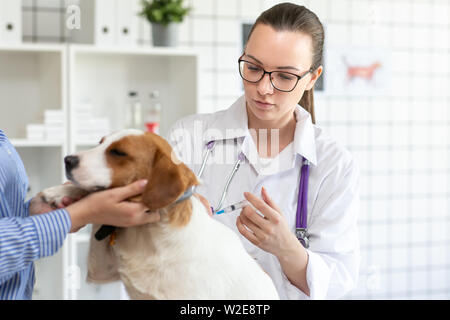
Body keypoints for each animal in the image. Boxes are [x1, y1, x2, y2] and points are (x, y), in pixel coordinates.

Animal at [41, 129, 278, 298]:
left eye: (118, 152)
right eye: (100, 143)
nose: (68, 160)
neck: (149, 232)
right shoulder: (101, 270)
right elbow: (88, 192)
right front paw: (60, 191)